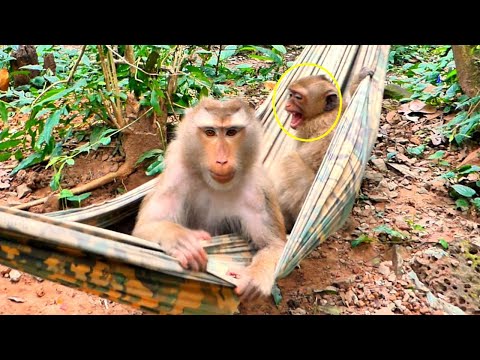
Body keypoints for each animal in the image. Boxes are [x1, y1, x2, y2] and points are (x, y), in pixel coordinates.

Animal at [132, 97, 284, 300]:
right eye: (210, 132)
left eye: (231, 132)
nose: (222, 161)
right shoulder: (175, 177)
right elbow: (145, 227)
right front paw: (180, 240)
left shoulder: (258, 193)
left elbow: (274, 245)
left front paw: (254, 278)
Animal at [272, 67, 374, 231]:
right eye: (291, 95)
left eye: (298, 97)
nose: (287, 105)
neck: (324, 113)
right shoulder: (344, 110)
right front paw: (359, 79)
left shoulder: (307, 128)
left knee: (289, 160)